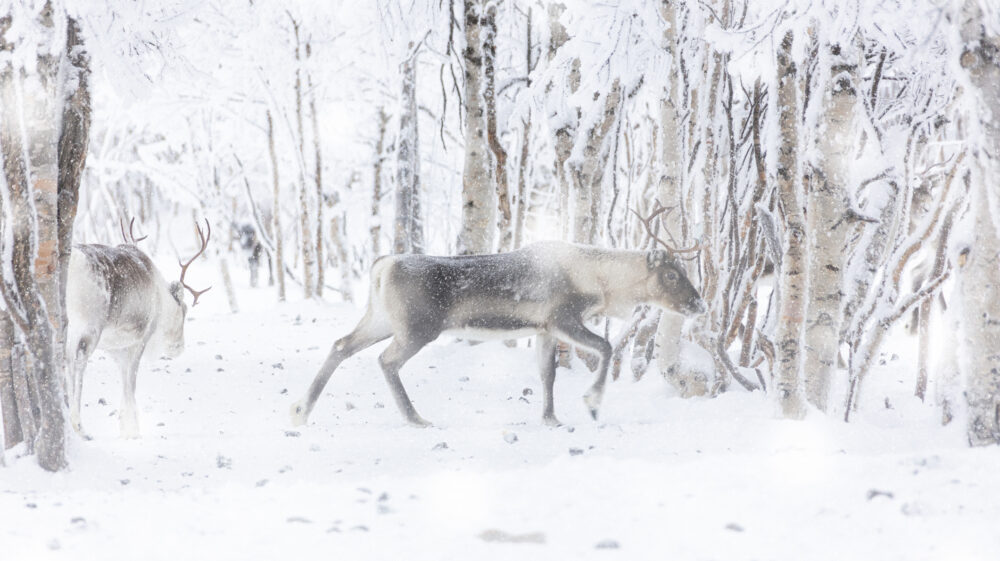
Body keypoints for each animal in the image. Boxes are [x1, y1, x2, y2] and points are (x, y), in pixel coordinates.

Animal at [65, 219, 211, 439]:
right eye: (184, 310)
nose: (179, 348)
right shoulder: (141, 339)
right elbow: (131, 385)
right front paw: (133, 431)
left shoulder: (116, 349)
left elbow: (125, 384)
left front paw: (125, 427)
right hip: (88, 326)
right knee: (78, 361)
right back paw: (78, 426)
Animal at [290, 229, 706, 428]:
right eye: (671, 274)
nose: (699, 304)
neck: (602, 282)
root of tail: (381, 265)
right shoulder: (563, 318)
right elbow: (604, 347)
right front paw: (591, 404)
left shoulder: (543, 329)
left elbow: (547, 375)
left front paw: (551, 418)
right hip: (416, 329)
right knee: (386, 360)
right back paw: (415, 418)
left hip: (380, 320)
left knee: (341, 345)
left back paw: (300, 411)